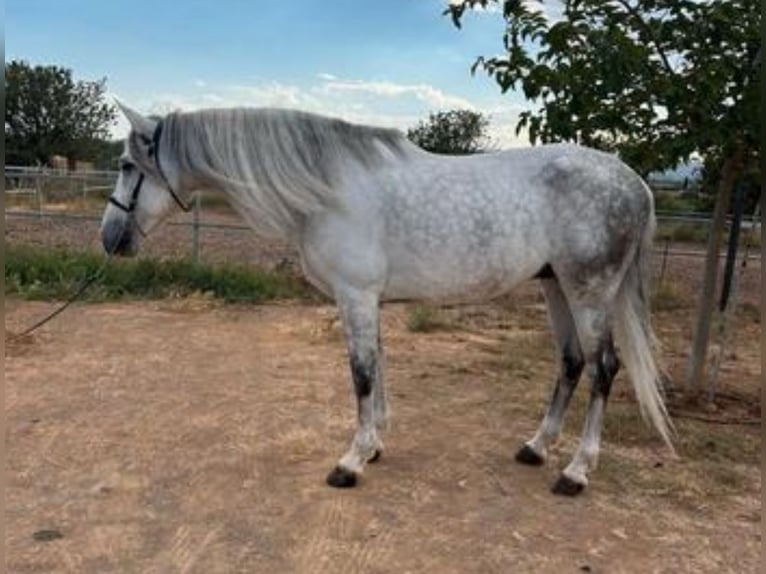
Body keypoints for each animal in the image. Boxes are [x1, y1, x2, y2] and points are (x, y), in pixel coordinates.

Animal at [100, 104, 672, 500]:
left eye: (128, 165)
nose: (109, 239)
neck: (327, 190)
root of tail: (637, 185)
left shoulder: (354, 295)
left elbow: (360, 373)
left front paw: (351, 461)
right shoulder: (368, 299)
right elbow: (378, 368)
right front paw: (374, 446)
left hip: (589, 290)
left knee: (603, 368)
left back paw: (576, 471)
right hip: (555, 285)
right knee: (571, 362)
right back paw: (535, 448)